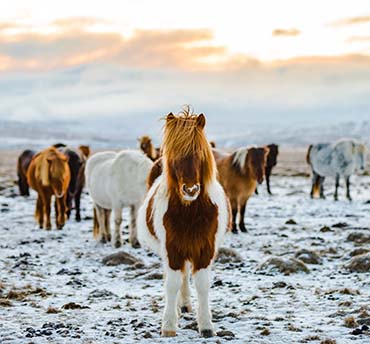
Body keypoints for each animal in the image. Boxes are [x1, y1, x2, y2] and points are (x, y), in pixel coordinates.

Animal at [138, 111, 231, 338]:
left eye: (199, 153)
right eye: (174, 155)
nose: (191, 190)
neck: (190, 212)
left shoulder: (205, 249)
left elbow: (202, 285)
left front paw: (206, 326)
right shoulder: (172, 249)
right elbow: (171, 284)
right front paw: (169, 325)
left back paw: (186, 306)